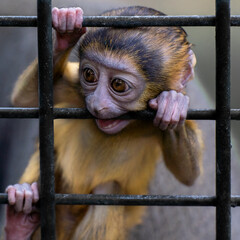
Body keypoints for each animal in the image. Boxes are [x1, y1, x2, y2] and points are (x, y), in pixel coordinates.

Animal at [3, 5, 202, 240]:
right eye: (89, 74)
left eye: (118, 85)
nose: (97, 104)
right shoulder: (76, 88)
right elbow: (23, 100)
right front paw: (65, 31)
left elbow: (188, 176)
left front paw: (173, 104)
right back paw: (19, 222)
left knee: (109, 190)